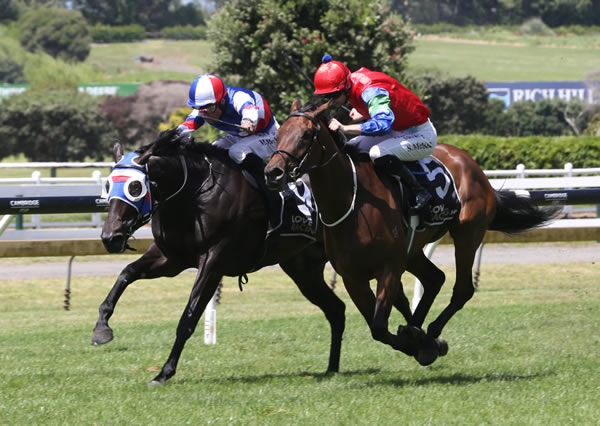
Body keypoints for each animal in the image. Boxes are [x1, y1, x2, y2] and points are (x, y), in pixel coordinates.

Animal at [95, 130, 344, 386]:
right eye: (108, 185)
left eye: (135, 187)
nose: (110, 237)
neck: (194, 194)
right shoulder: (171, 258)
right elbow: (126, 274)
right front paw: (102, 329)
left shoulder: (213, 262)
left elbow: (188, 317)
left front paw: (164, 372)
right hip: (303, 270)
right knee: (336, 309)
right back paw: (332, 368)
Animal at [264, 100, 560, 366]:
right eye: (278, 134)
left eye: (306, 134)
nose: (273, 172)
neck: (353, 200)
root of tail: (473, 166)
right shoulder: (353, 277)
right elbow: (377, 325)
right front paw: (418, 343)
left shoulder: (389, 267)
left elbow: (379, 326)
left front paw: (421, 344)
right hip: (413, 250)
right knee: (435, 279)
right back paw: (419, 332)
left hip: (467, 234)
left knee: (462, 289)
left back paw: (429, 332)